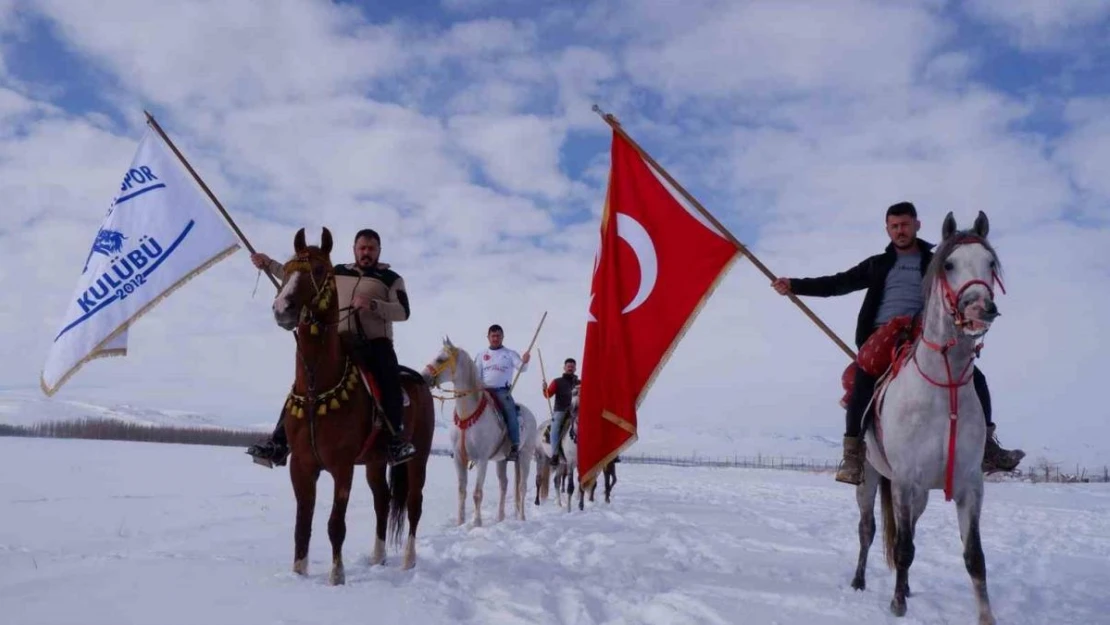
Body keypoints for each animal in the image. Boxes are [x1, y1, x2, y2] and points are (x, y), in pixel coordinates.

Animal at [270, 227, 435, 586]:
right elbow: (302, 523)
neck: (317, 386)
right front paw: (298, 574)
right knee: (382, 501)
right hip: (374, 462)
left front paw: (337, 576)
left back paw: (408, 561)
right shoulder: (301, 466)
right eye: (286, 268)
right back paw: (378, 557)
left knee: (414, 504)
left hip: (418, 458)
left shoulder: (342, 467)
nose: (282, 307)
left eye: (319, 270)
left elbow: (335, 524)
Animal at [419, 337, 537, 528]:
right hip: (502, 460)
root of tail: (530, 414)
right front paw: (460, 523)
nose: (423, 377)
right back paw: (500, 517)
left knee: (522, 486)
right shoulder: (459, 458)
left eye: (441, 359)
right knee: (504, 485)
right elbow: (462, 491)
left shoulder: (482, 459)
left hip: (525, 455)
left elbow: (477, 493)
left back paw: (521, 518)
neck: (467, 416)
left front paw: (476, 523)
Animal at [848, 213, 1007, 621]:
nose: (980, 309)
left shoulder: (970, 486)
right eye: (948, 264)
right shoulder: (905, 481)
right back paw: (859, 581)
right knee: (868, 529)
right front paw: (897, 605)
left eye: (990, 263)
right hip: (871, 478)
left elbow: (975, 557)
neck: (942, 389)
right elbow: (902, 548)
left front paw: (986, 616)